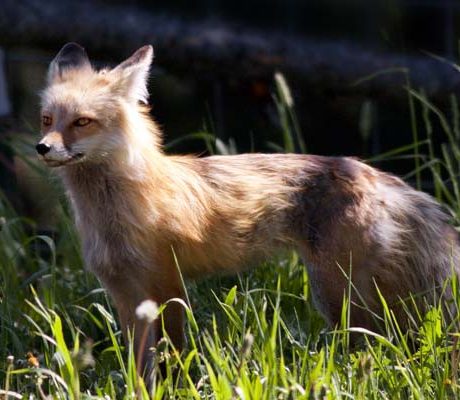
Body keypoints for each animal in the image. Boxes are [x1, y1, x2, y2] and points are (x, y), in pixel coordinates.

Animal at [37, 45, 458, 374]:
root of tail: (370, 172)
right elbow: (139, 370)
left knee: (378, 347)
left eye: (82, 122)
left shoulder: (167, 286)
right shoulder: (125, 294)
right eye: (47, 119)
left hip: (339, 296)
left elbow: (172, 362)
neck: (112, 214)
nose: (42, 148)